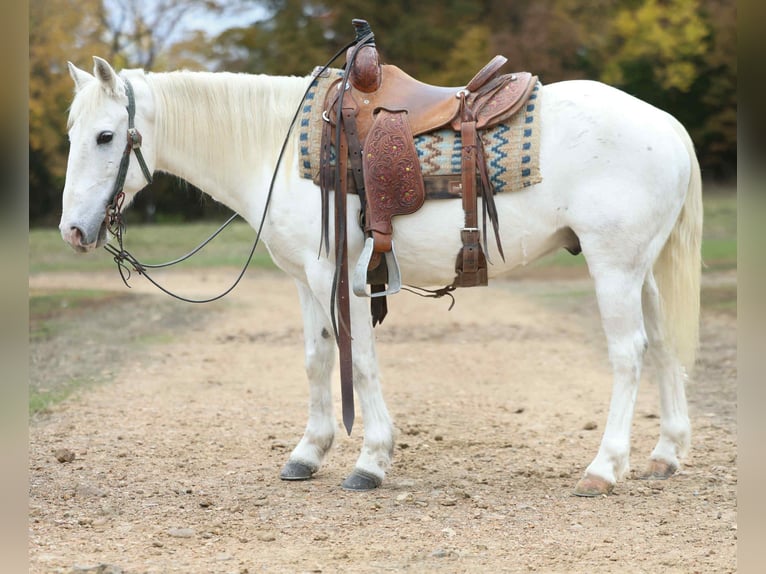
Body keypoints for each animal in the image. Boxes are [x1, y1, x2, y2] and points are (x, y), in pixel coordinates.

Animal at [60, 56, 702, 496]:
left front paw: (370, 460)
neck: (276, 150)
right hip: (643, 269)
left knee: (629, 352)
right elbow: (318, 358)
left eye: (106, 136)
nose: (72, 230)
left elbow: (360, 361)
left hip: (613, 265)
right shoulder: (305, 280)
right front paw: (308, 453)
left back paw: (604, 467)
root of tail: (668, 124)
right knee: (665, 343)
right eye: (73, 135)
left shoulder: (337, 274)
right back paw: (666, 454)